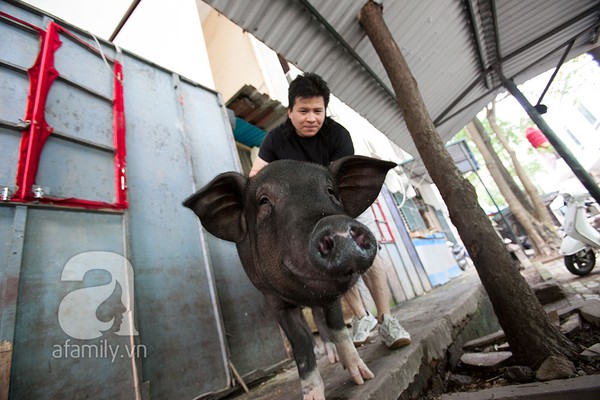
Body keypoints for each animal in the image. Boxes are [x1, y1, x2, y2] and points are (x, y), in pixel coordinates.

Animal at [185, 155, 396, 398]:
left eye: (331, 191)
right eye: (264, 201)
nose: (337, 226)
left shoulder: (331, 295)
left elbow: (336, 324)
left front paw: (363, 377)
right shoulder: (273, 300)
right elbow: (300, 341)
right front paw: (313, 396)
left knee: (318, 317)